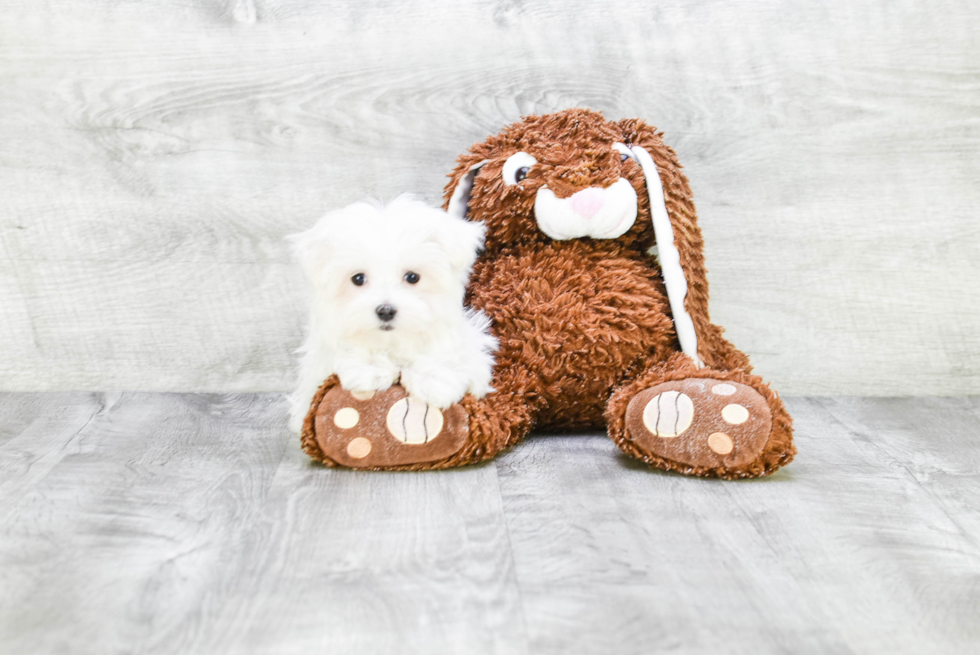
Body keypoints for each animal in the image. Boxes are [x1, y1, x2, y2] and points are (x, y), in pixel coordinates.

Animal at [286, 195, 498, 434]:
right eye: (358, 278)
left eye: (413, 277)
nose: (385, 310)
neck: (392, 342)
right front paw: (370, 368)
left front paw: (434, 378)